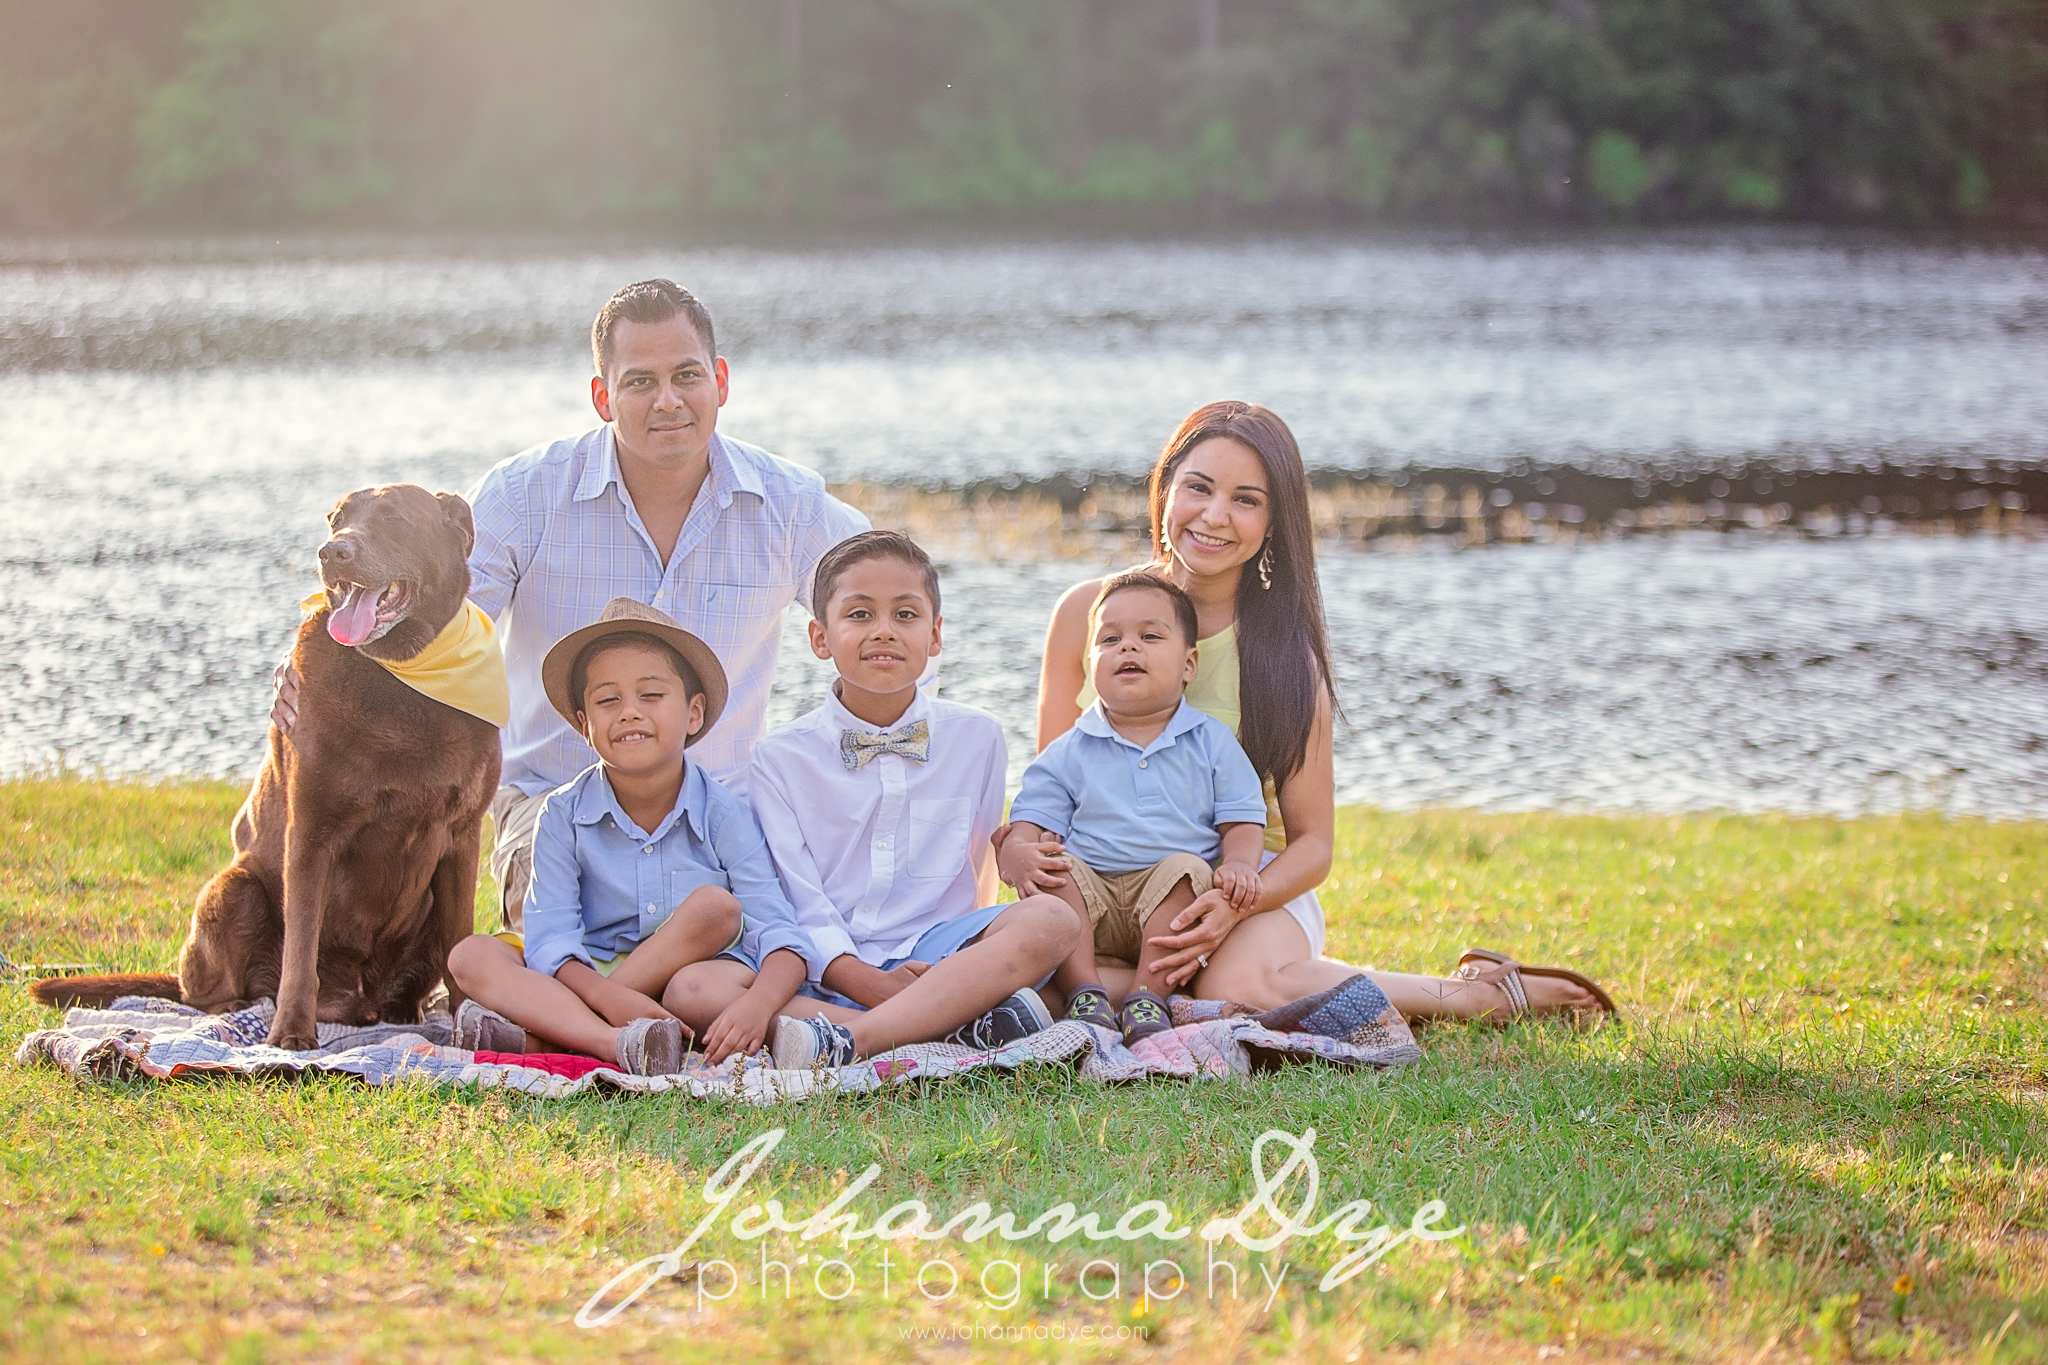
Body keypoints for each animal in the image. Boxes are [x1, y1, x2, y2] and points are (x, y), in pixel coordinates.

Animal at [34, 485, 501, 1055]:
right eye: (337, 520)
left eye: (395, 518)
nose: (333, 553)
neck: (401, 679)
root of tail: (357, 1006)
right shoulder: (312, 833)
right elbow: (300, 952)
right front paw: (291, 1034)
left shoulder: (461, 838)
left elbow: (462, 946)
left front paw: (470, 1025)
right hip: (234, 891)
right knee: (207, 992)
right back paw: (237, 1014)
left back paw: (402, 1010)